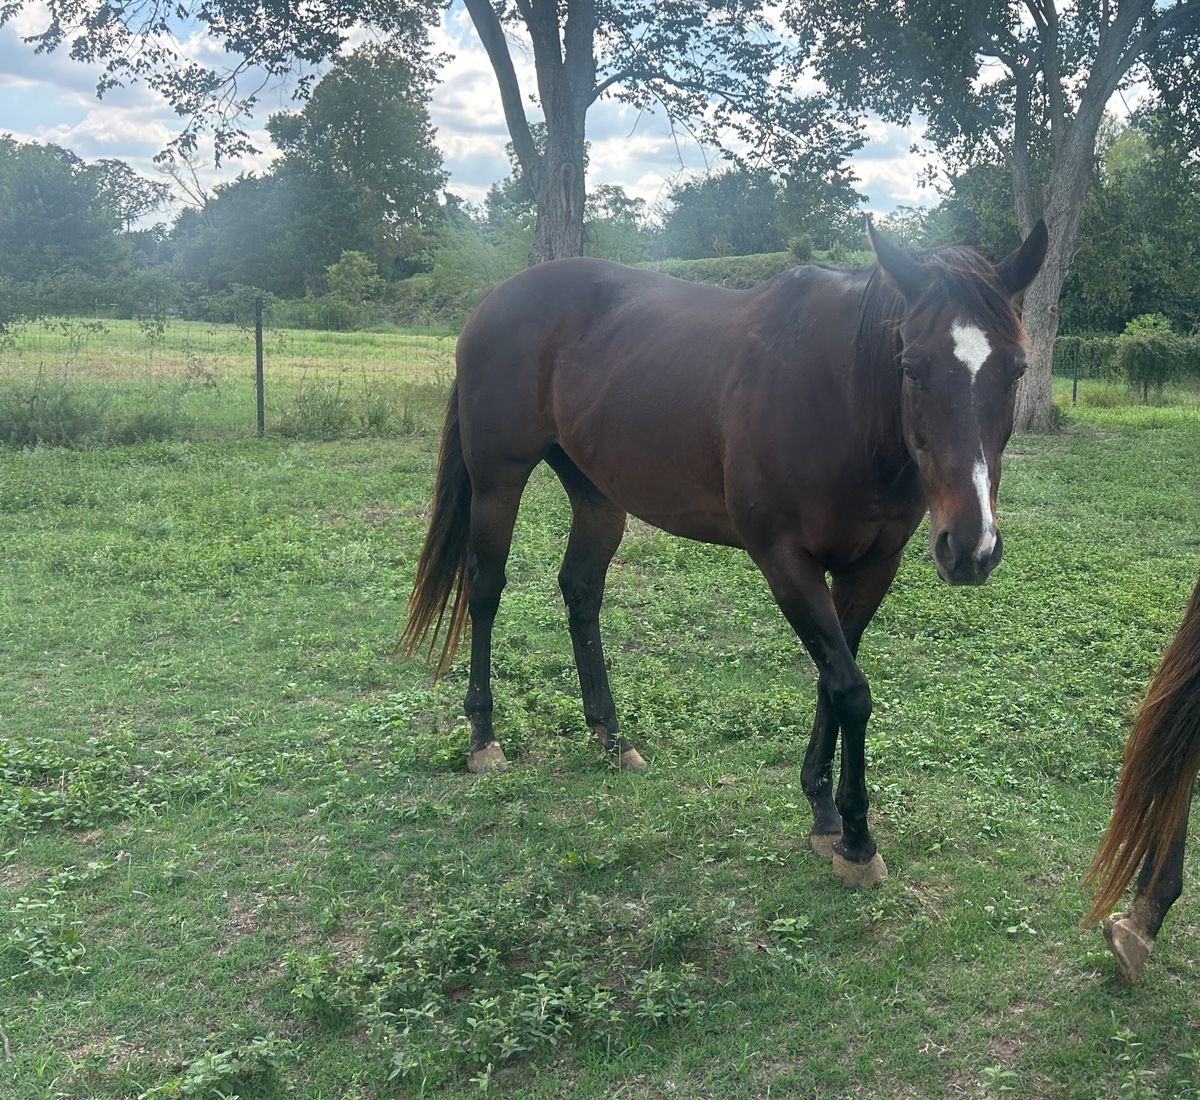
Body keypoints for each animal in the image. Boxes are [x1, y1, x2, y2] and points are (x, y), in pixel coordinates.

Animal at [400, 219, 1048, 888]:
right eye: (913, 367)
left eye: (1016, 370)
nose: (970, 547)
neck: (840, 400)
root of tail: (493, 301)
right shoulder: (785, 561)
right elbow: (849, 688)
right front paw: (855, 838)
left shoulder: (871, 567)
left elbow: (832, 682)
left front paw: (823, 811)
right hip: (497, 481)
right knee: (484, 589)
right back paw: (483, 738)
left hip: (598, 496)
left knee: (580, 591)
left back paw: (611, 735)